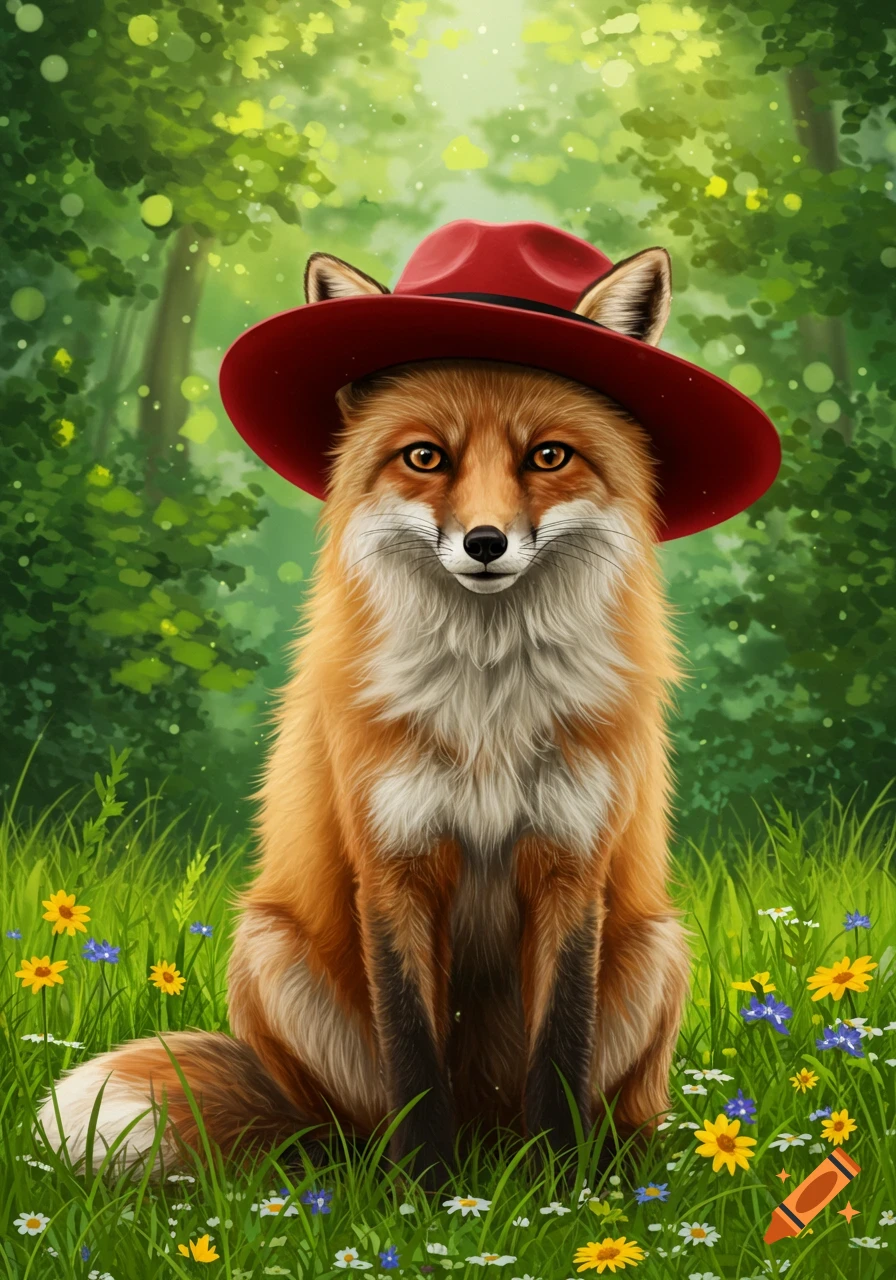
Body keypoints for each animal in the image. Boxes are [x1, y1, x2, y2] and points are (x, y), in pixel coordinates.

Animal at [38, 241, 691, 1191]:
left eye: (548, 455)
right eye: (425, 457)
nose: (485, 543)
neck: (486, 712)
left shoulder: (572, 868)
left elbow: (559, 1057)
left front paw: (557, 1198)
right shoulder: (392, 865)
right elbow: (413, 1055)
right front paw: (425, 1201)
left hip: (657, 949)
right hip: (270, 950)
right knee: (344, 1131)